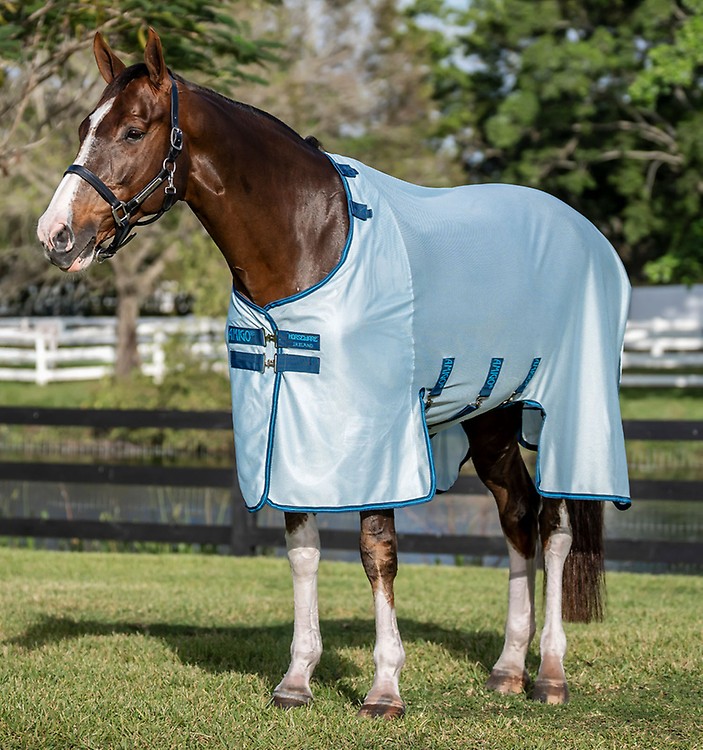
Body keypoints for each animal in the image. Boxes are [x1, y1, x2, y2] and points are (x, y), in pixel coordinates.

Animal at [36, 29, 631, 718]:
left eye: (133, 130)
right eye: (84, 125)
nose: (56, 234)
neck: (308, 238)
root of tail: (586, 232)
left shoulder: (379, 438)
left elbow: (378, 553)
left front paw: (385, 687)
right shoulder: (284, 429)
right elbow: (302, 551)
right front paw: (296, 679)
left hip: (568, 409)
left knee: (557, 527)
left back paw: (551, 674)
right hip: (491, 418)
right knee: (518, 514)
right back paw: (509, 667)